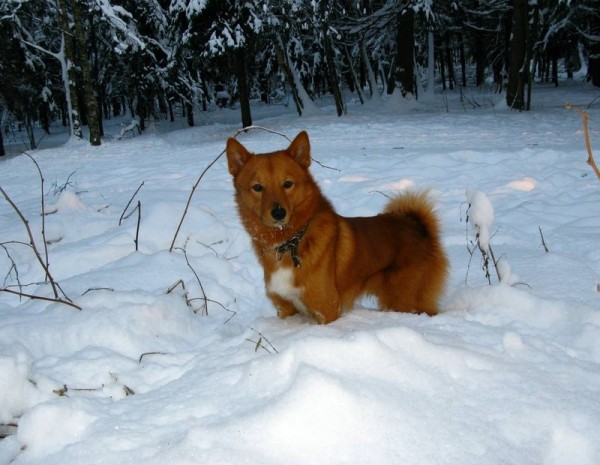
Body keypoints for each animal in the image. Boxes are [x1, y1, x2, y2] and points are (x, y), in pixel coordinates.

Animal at [227, 130, 448, 322]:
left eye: (288, 184)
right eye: (257, 187)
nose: (279, 213)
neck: (292, 240)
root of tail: (417, 225)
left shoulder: (326, 309)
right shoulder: (286, 309)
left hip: (406, 302)